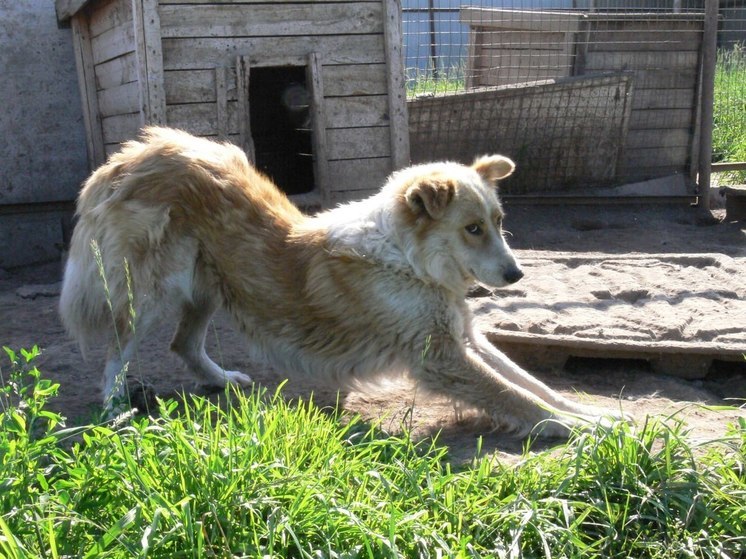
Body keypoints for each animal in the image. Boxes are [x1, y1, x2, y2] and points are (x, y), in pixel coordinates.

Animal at [61, 128, 612, 438]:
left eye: (498, 222)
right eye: (472, 229)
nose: (517, 274)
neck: (407, 260)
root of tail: (134, 155)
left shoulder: (465, 338)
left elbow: (534, 385)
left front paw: (595, 416)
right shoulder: (440, 357)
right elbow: (514, 396)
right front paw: (578, 429)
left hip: (209, 285)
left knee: (183, 343)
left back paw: (220, 380)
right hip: (150, 293)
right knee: (117, 349)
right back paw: (115, 406)